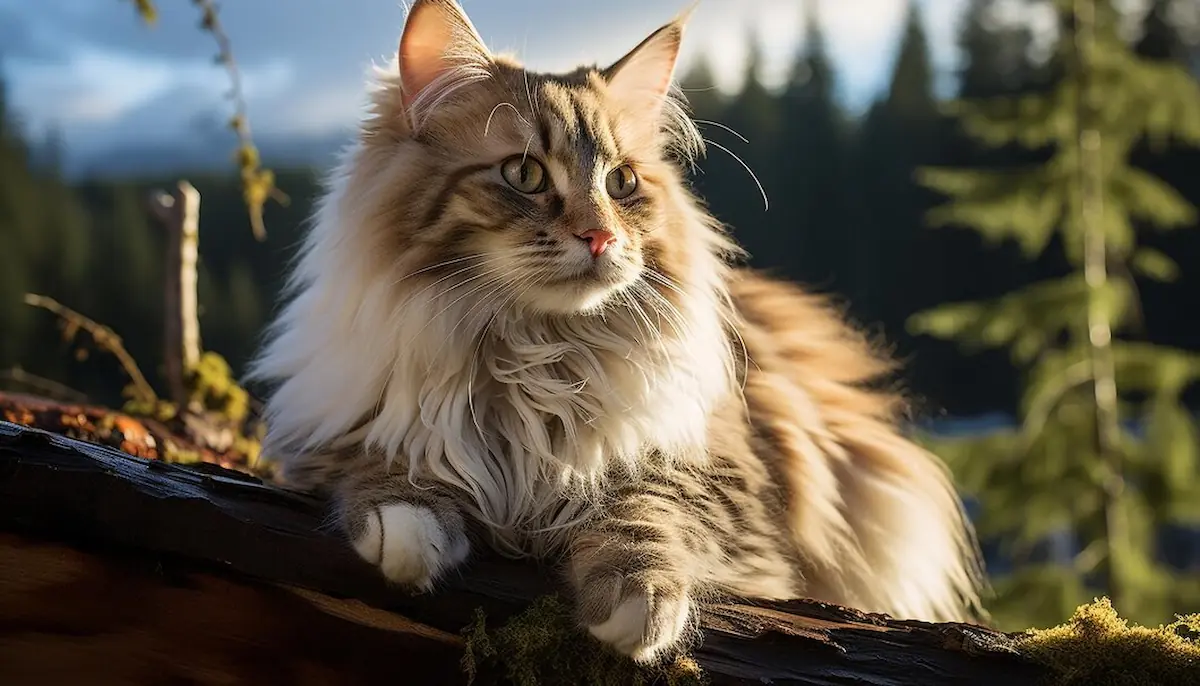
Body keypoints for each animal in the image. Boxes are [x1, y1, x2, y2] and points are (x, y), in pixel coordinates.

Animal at [248, 0, 988, 666]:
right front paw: (408, 537)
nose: (600, 235)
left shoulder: (716, 475)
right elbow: (392, 467)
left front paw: (641, 602)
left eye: (622, 181)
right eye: (524, 173)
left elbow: (646, 507)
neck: (533, 354)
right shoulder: (339, 434)